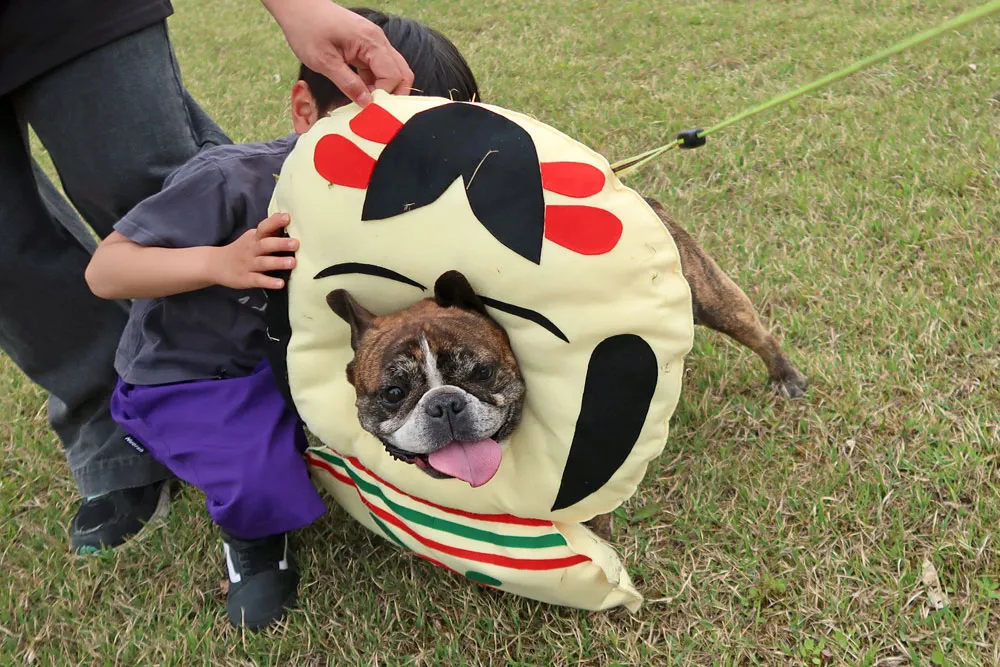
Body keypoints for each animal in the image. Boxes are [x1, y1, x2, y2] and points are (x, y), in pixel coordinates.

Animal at [324, 206, 808, 540]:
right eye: (393, 392)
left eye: (483, 371)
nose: (445, 404)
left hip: (713, 298)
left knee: (756, 332)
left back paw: (787, 377)